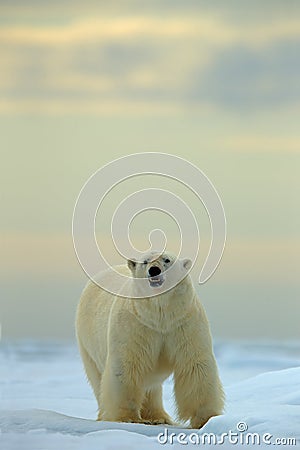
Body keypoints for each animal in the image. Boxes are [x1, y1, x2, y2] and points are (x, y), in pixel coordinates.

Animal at [76, 251, 224, 428]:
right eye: (145, 261)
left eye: (167, 260)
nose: (154, 270)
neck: (160, 315)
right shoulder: (135, 324)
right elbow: (127, 364)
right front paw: (127, 418)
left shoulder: (184, 322)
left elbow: (195, 364)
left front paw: (206, 419)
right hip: (87, 344)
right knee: (98, 379)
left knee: (151, 385)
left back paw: (159, 417)